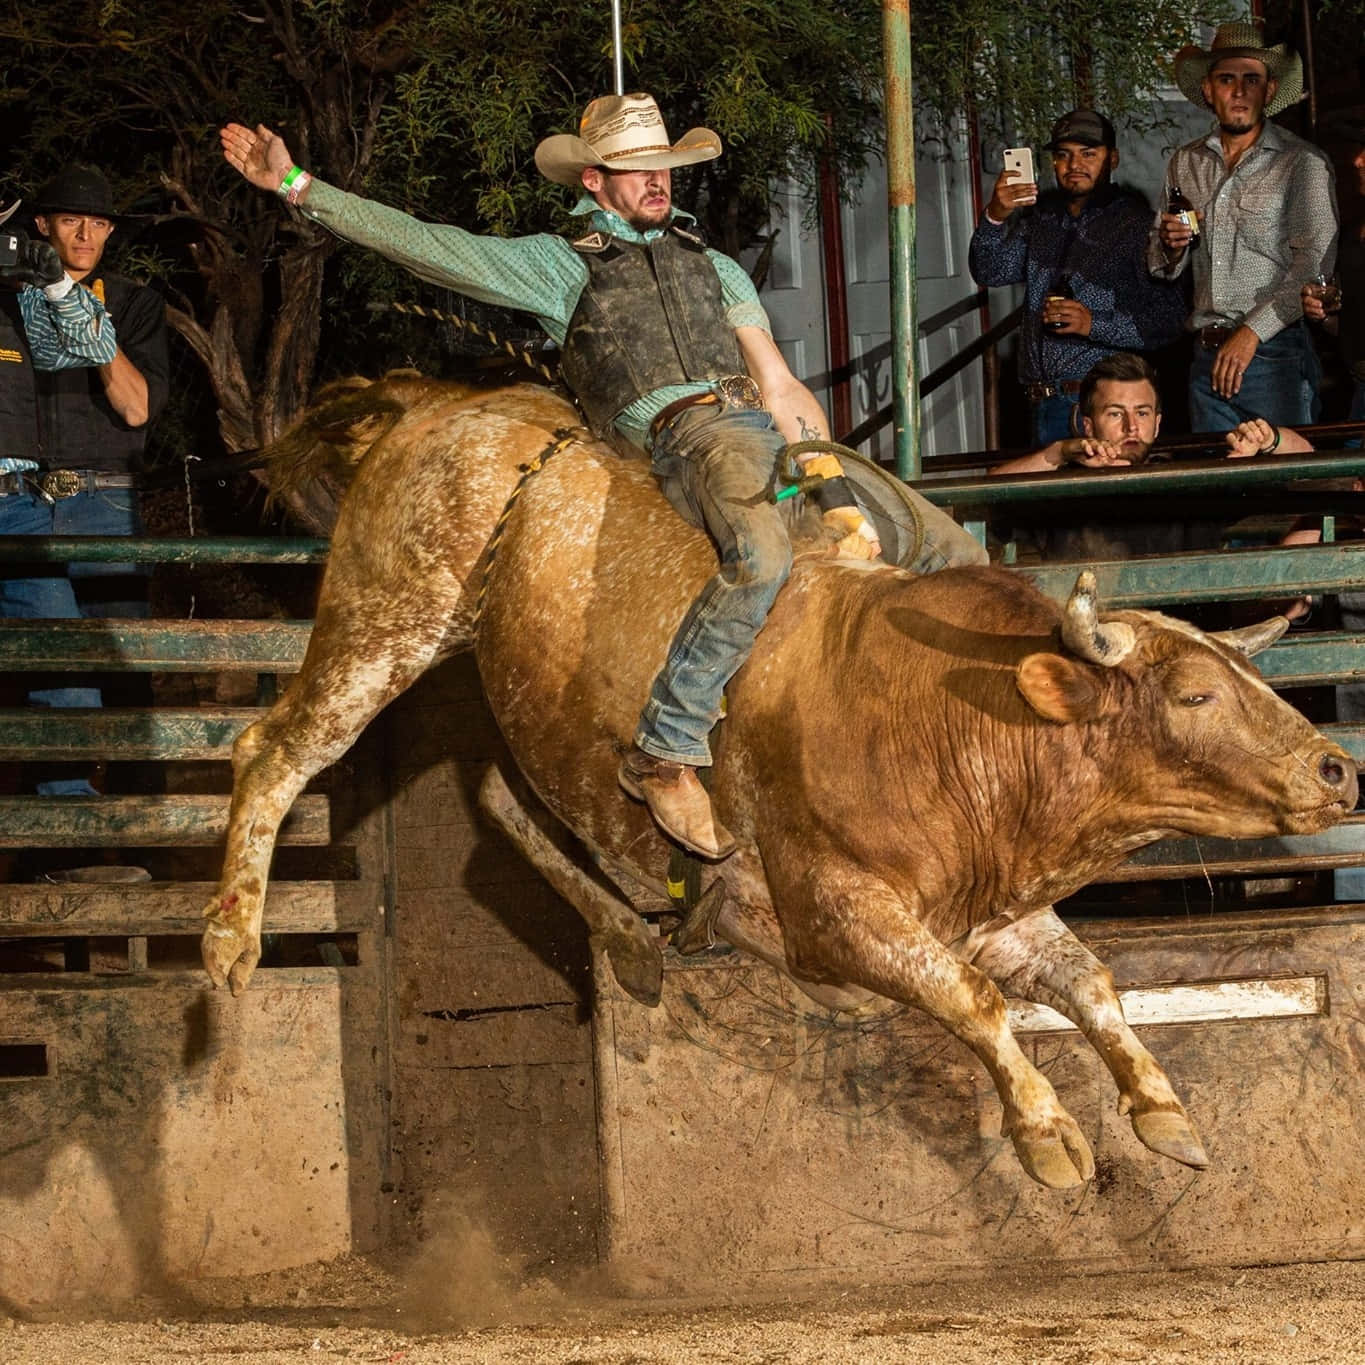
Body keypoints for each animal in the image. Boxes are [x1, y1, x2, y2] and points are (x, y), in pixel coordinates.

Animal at [202, 379, 1354, 1190]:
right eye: (1195, 692)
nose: (1336, 768)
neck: (938, 715)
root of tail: (447, 405)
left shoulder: (998, 914)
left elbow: (1092, 986)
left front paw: (1164, 1114)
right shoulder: (843, 912)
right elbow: (974, 1001)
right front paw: (1048, 1136)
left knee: (508, 801)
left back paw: (646, 937)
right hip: (387, 619)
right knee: (273, 750)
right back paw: (228, 945)